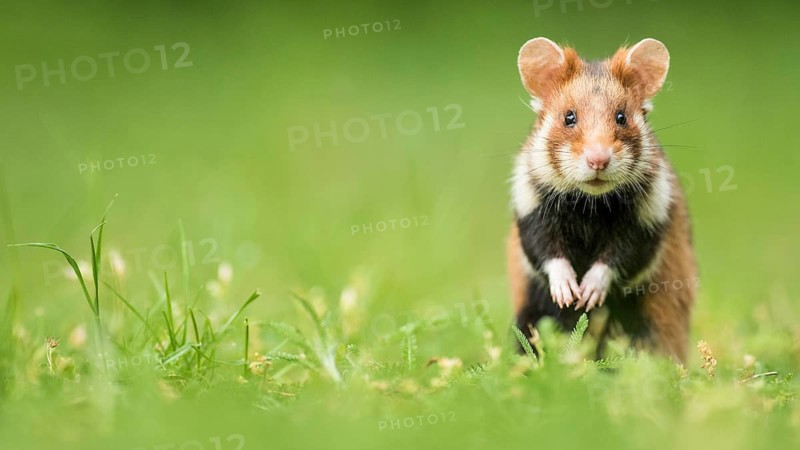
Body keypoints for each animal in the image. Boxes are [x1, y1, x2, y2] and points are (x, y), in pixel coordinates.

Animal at [507, 37, 696, 363]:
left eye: (621, 117)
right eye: (569, 117)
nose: (598, 160)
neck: (589, 205)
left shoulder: (647, 222)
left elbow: (619, 258)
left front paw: (587, 296)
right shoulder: (530, 211)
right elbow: (546, 252)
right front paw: (568, 294)